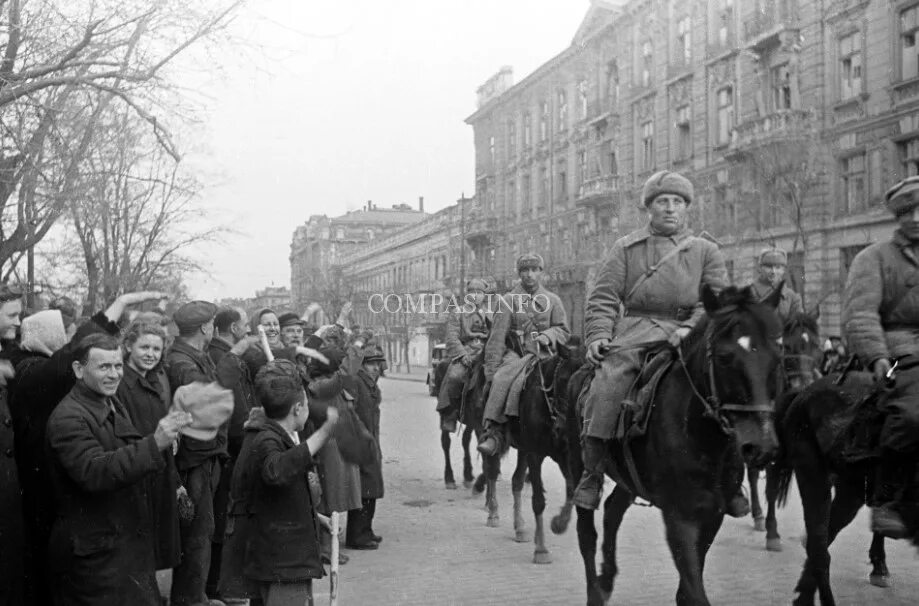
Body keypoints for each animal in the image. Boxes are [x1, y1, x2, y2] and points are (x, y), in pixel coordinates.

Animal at [568, 286, 784, 606]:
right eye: (724, 357)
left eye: (777, 357)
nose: (763, 446)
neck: (701, 438)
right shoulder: (679, 517)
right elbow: (694, 590)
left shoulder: (712, 513)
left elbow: (687, 590)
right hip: (577, 466)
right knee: (586, 532)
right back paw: (595, 591)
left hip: (627, 479)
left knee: (612, 510)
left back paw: (606, 579)